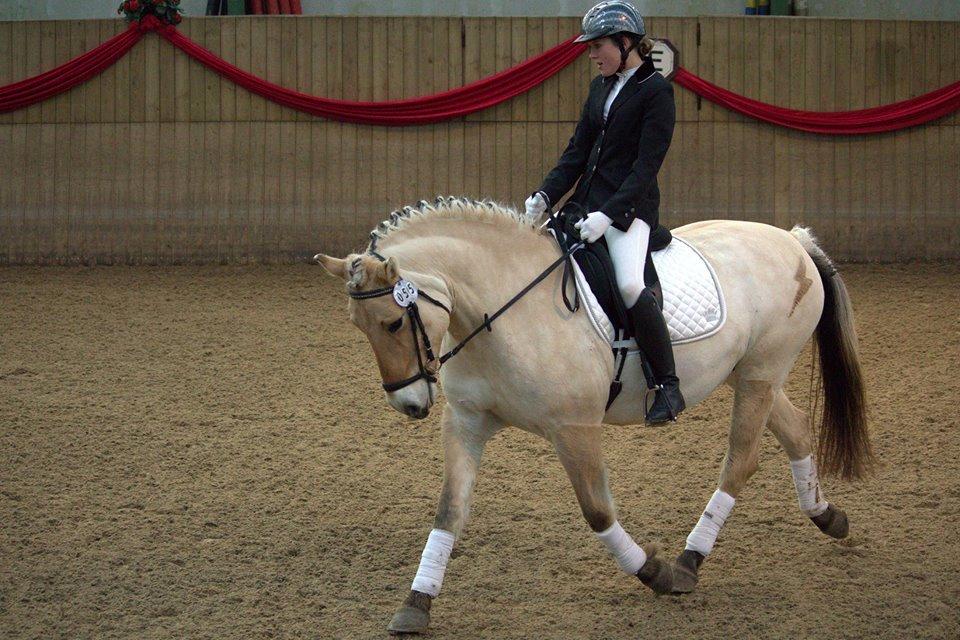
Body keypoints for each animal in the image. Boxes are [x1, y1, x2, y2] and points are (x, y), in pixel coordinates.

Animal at [315, 196, 873, 635]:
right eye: (357, 325)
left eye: (392, 323)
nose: (408, 404)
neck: (502, 312)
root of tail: (792, 240)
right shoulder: (467, 422)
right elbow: (449, 510)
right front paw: (416, 604)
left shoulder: (574, 429)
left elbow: (598, 512)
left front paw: (654, 572)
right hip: (749, 375)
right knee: (796, 432)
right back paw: (827, 516)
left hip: (760, 373)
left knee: (740, 462)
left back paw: (689, 561)